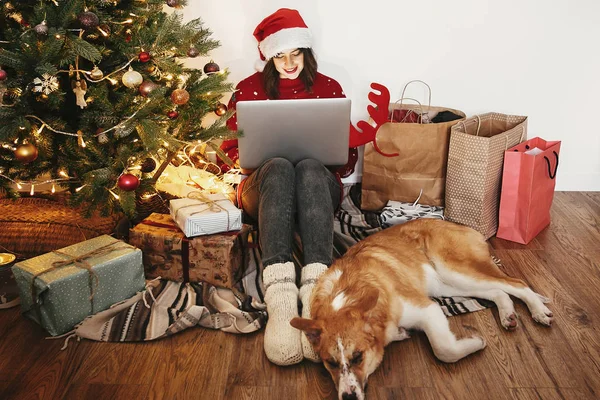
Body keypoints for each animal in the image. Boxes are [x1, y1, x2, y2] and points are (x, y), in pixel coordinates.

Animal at [290, 219, 552, 400]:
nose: (348, 398)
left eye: (358, 357)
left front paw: (475, 343)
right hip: (446, 284)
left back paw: (538, 310)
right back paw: (508, 313)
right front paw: (398, 333)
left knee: (516, 283)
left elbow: (443, 349)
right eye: (330, 363)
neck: (347, 294)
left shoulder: (428, 309)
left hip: (454, 271)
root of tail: (458, 225)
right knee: (498, 291)